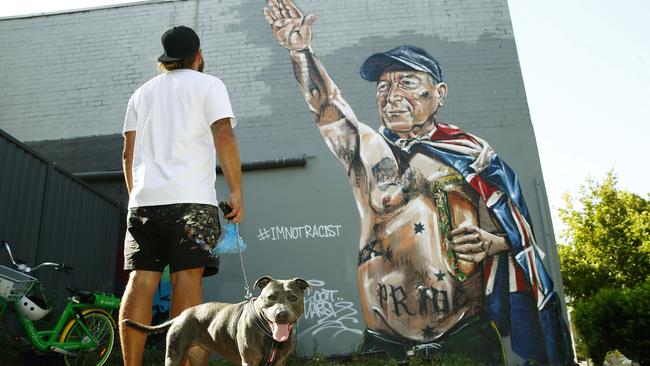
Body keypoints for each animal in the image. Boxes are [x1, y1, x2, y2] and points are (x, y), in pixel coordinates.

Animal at [126, 278, 312, 366]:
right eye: (271, 297)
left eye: (293, 298)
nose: (281, 314)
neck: (268, 333)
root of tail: (181, 315)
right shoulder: (249, 361)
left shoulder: (280, 362)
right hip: (174, 355)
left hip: (198, 355)